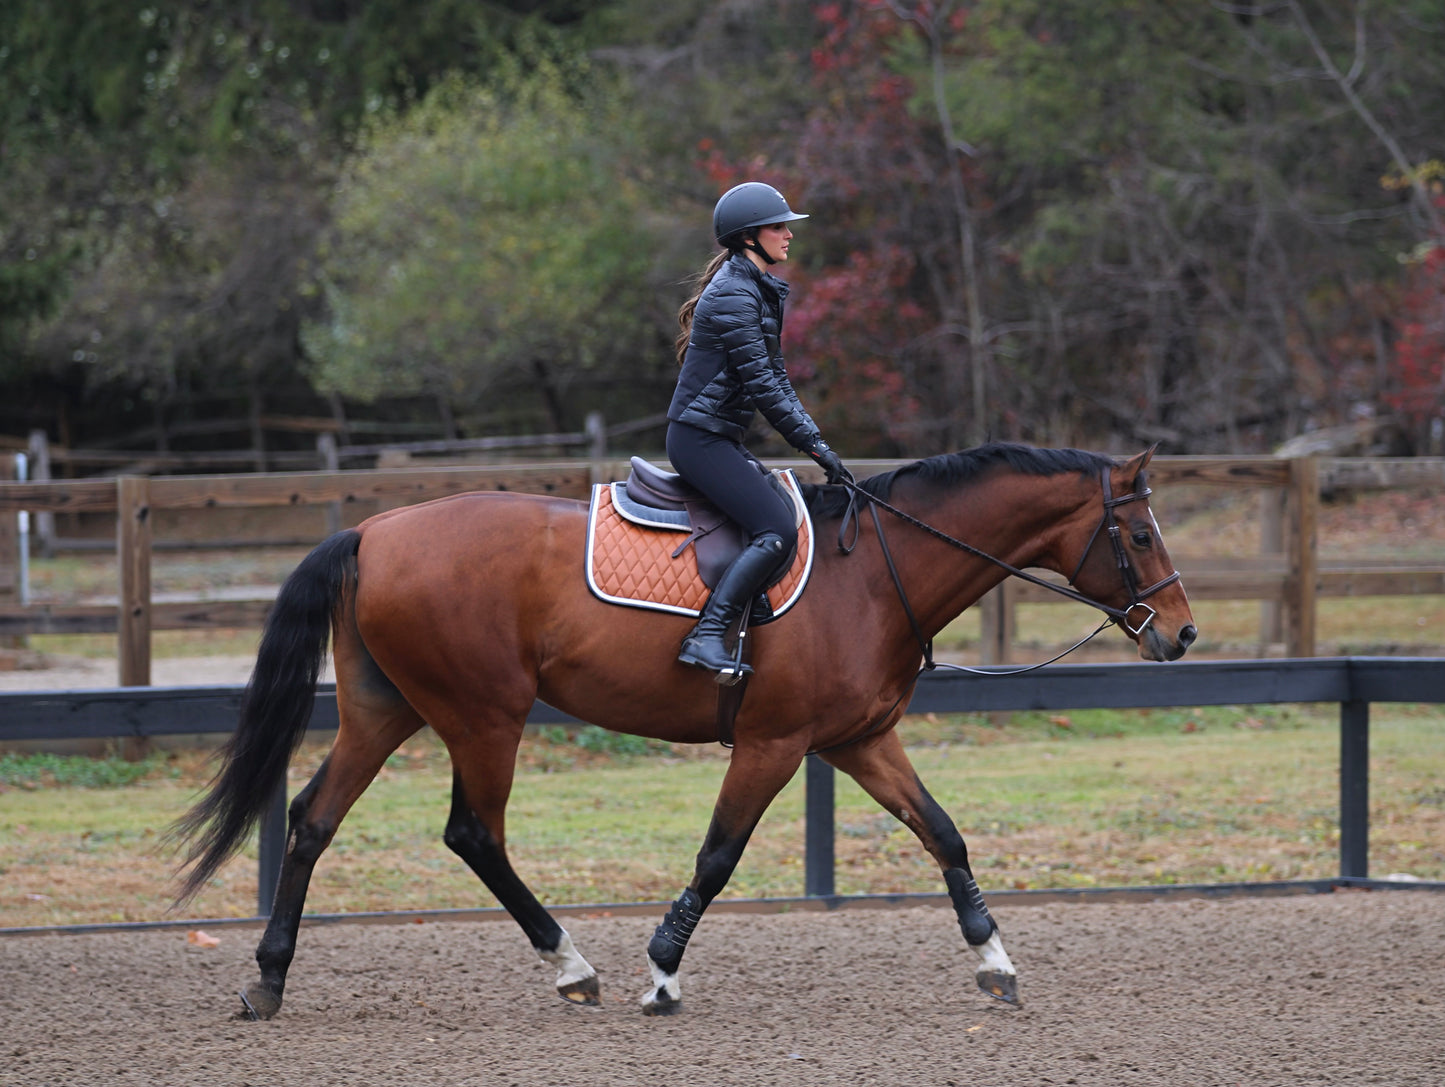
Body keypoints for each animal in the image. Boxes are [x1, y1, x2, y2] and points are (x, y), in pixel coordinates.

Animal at [174, 439, 1196, 1017]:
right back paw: (570, 964)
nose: (1182, 633)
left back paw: (270, 977)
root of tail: (375, 532)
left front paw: (994, 960)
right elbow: (717, 855)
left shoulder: (857, 740)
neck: (874, 572)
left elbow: (942, 833)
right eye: (1140, 534)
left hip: (388, 710)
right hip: (482, 715)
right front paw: (661, 974)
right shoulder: (774, 744)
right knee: (474, 833)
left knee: (312, 818)